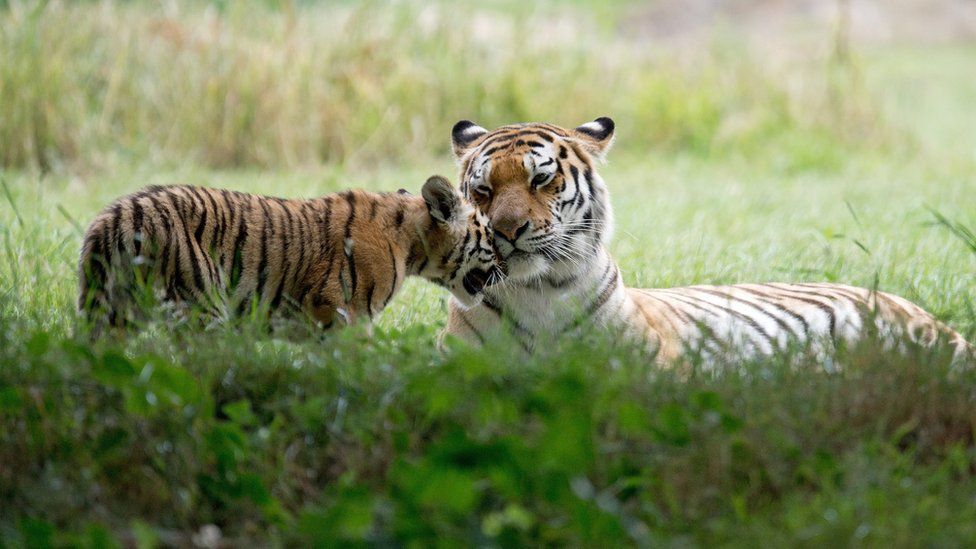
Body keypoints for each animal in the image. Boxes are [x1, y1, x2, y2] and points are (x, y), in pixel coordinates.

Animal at [78, 177, 504, 330]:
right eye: (491, 237)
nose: (507, 263)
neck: (413, 244)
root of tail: (117, 215)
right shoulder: (342, 313)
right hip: (201, 306)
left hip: (109, 313)